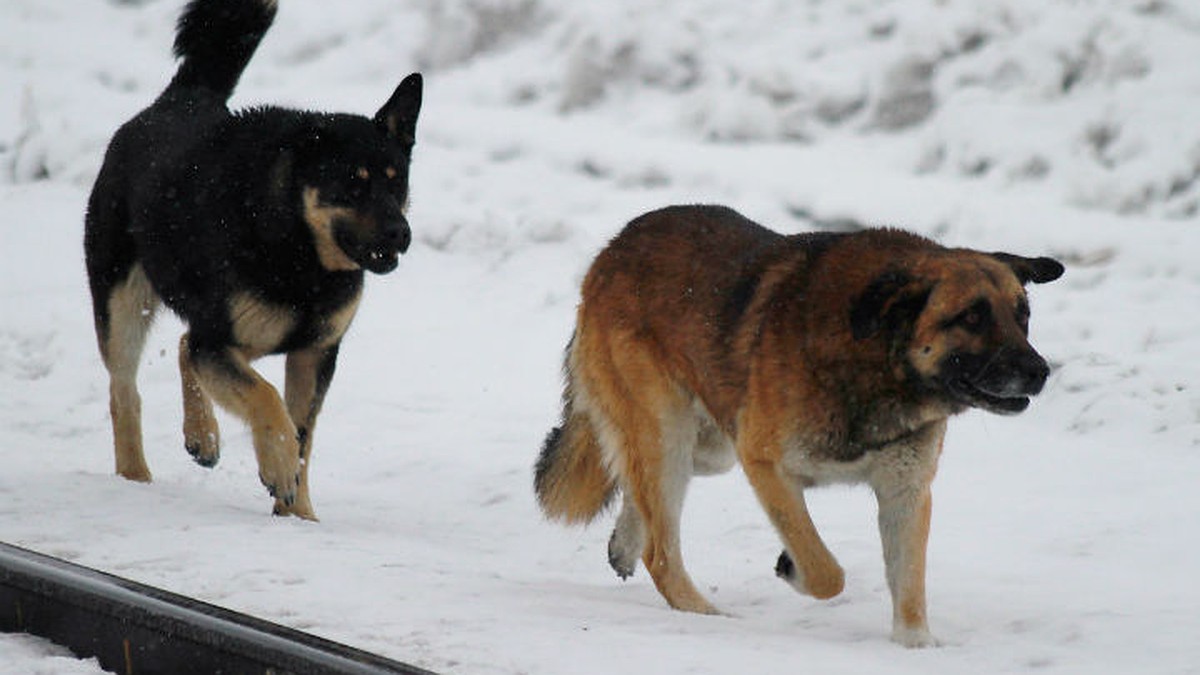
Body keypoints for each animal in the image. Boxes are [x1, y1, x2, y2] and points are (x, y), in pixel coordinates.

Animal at [85, 0, 422, 516]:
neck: (301, 254)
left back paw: (202, 436)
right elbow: (267, 399)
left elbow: (303, 434)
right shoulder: (223, 339)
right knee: (125, 389)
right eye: (353, 184)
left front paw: (298, 514)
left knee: (184, 344)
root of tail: (180, 99)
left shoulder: (314, 353)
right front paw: (278, 468)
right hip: (124, 301)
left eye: (395, 181)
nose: (400, 234)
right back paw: (135, 476)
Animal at [535, 201, 1060, 643]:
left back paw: (626, 541)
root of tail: (614, 248)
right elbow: (826, 571)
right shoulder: (766, 465)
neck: (876, 357)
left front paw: (916, 647)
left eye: (1023, 316)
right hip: (670, 434)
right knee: (661, 551)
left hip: (707, 447)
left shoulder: (906, 491)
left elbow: (909, 586)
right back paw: (705, 615)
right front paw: (794, 568)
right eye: (971, 318)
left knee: (635, 484)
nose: (1039, 372)